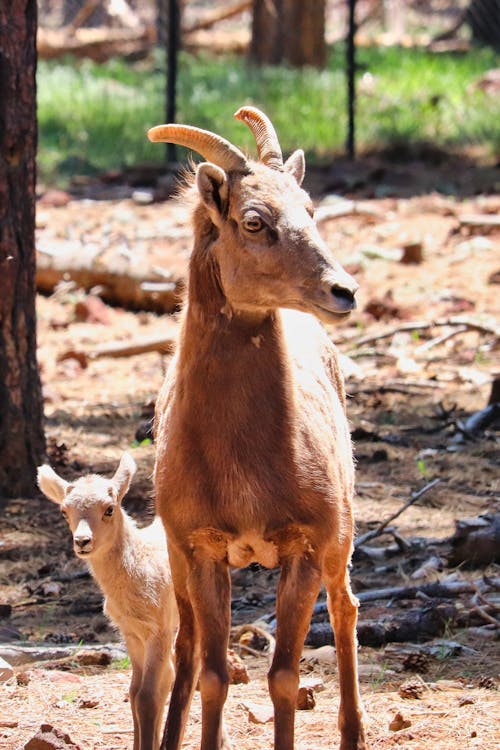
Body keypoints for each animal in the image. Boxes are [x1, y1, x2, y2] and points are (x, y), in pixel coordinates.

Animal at [36, 452, 176, 750]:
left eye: (110, 509)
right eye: (64, 511)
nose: (82, 541)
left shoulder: (159, 627)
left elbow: (148, 696)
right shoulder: (130, 632)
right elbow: (134, 693)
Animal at [148, 107, 368, 750]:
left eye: (310, 208)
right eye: (254, 220)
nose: (343, 291)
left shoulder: (306, 546)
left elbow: (284, 678)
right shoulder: (201, 549)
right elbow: (215, 675)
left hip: (342, 539)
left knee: (346, 609)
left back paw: (355, 733)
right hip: (177, 562)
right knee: (186, 644)